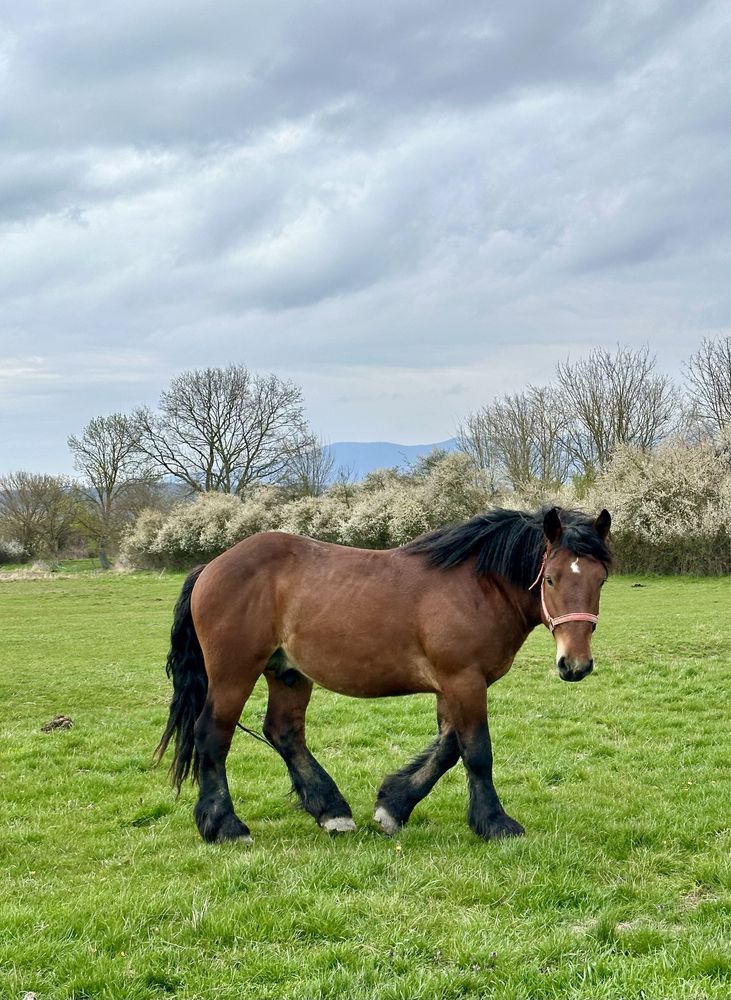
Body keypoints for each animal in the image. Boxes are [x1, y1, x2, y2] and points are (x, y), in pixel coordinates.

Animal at [154, 504, 612, 840]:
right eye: (550, 579)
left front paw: (393, 805)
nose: (575, 664)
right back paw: (225, 826)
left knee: (283, 732)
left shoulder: (453, 686)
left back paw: (331, 810)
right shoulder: (463, 679)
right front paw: (495, 823)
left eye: (601, 580)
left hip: (288, 674)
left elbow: (448, 749)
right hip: (234, 674)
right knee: (212, 735)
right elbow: (476, 751)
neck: (478, 589)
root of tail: (211, 567)